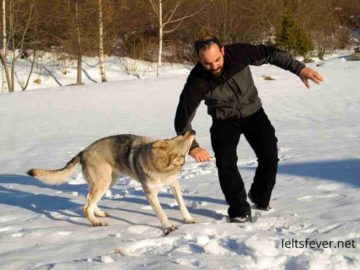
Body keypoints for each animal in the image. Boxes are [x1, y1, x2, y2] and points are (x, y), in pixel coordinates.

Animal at [27, 131, 197, 234]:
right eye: (182, 137)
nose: (192, 131)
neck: (160, 166)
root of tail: (83, 151)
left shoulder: (174, 185)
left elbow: (182, 205)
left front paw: (188, 219)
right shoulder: (150, 194)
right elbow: (161, 212)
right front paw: (168, 227)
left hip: (109, 182)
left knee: (88, 199)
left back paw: (99, 214)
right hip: (103, 183)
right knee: (86, 206)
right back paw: (96, 223)